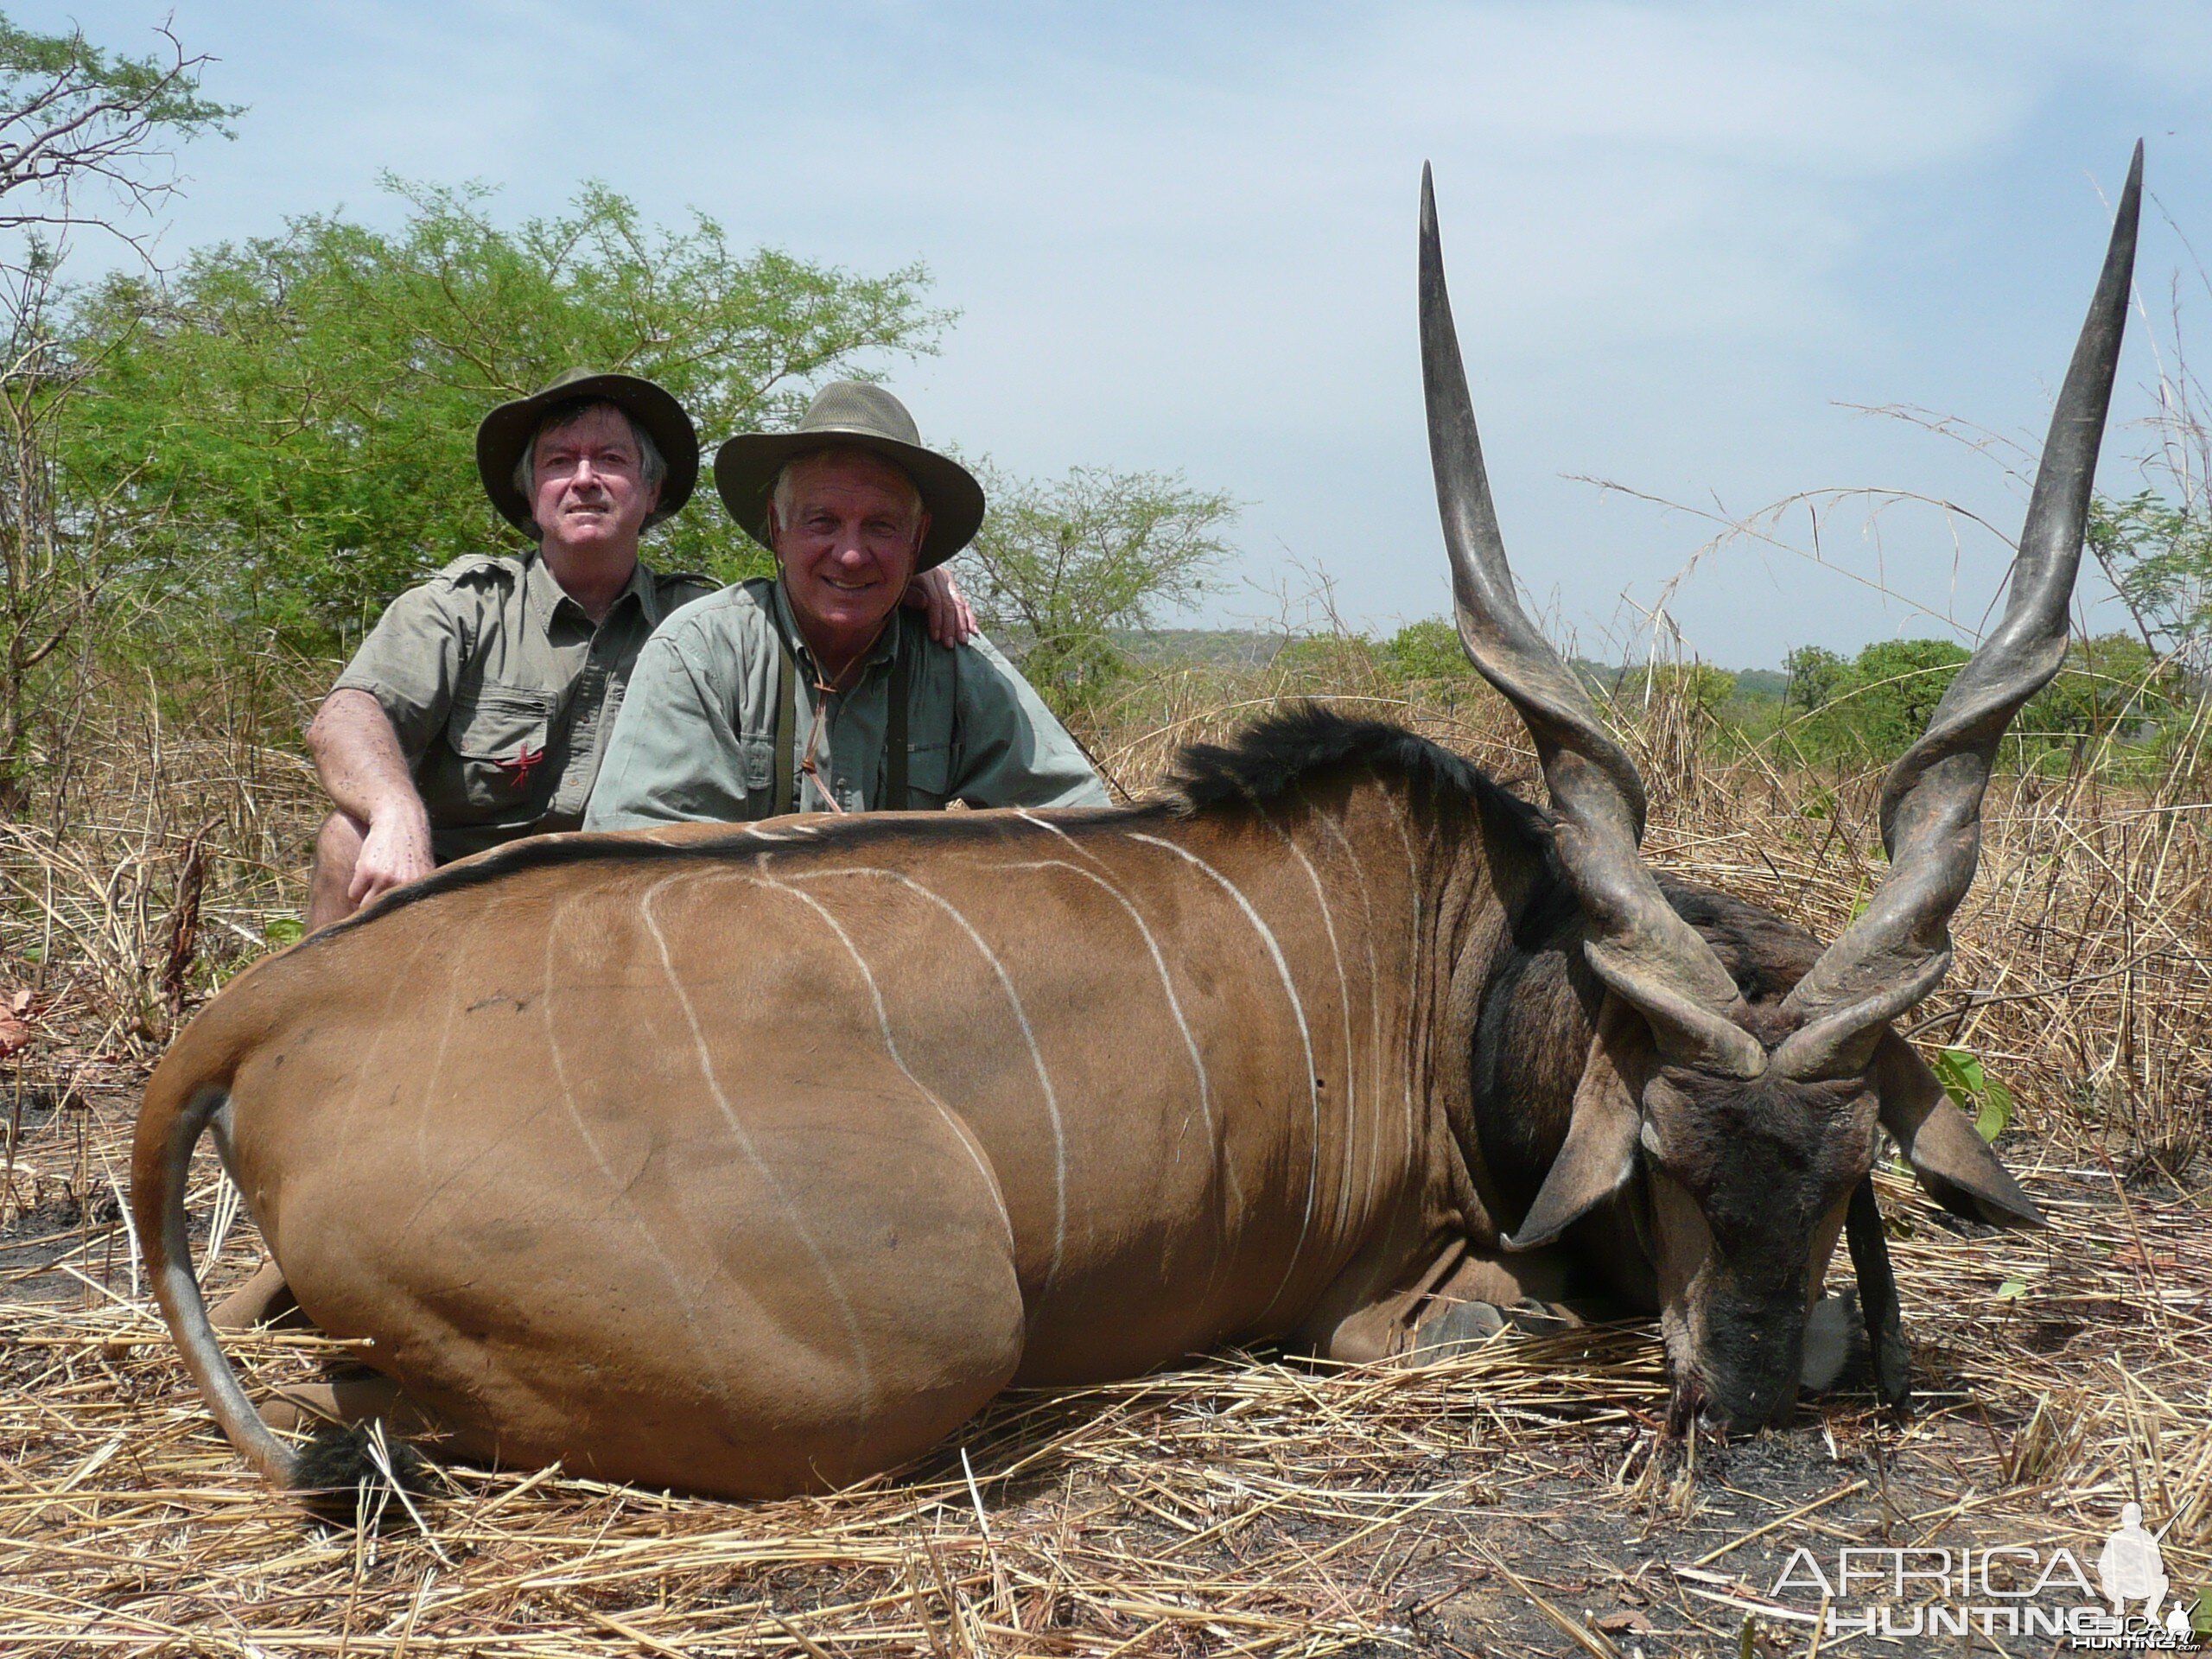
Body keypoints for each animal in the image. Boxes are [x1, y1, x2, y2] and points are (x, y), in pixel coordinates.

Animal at [129, 152, 2132, 1503]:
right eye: (1655, 1153)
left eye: (1849, 1168)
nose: (1752, 1386)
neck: (1464, 965)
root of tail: (265, 1009)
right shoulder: (1408, 1293)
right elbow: (1505, 1314)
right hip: (909, 1327)